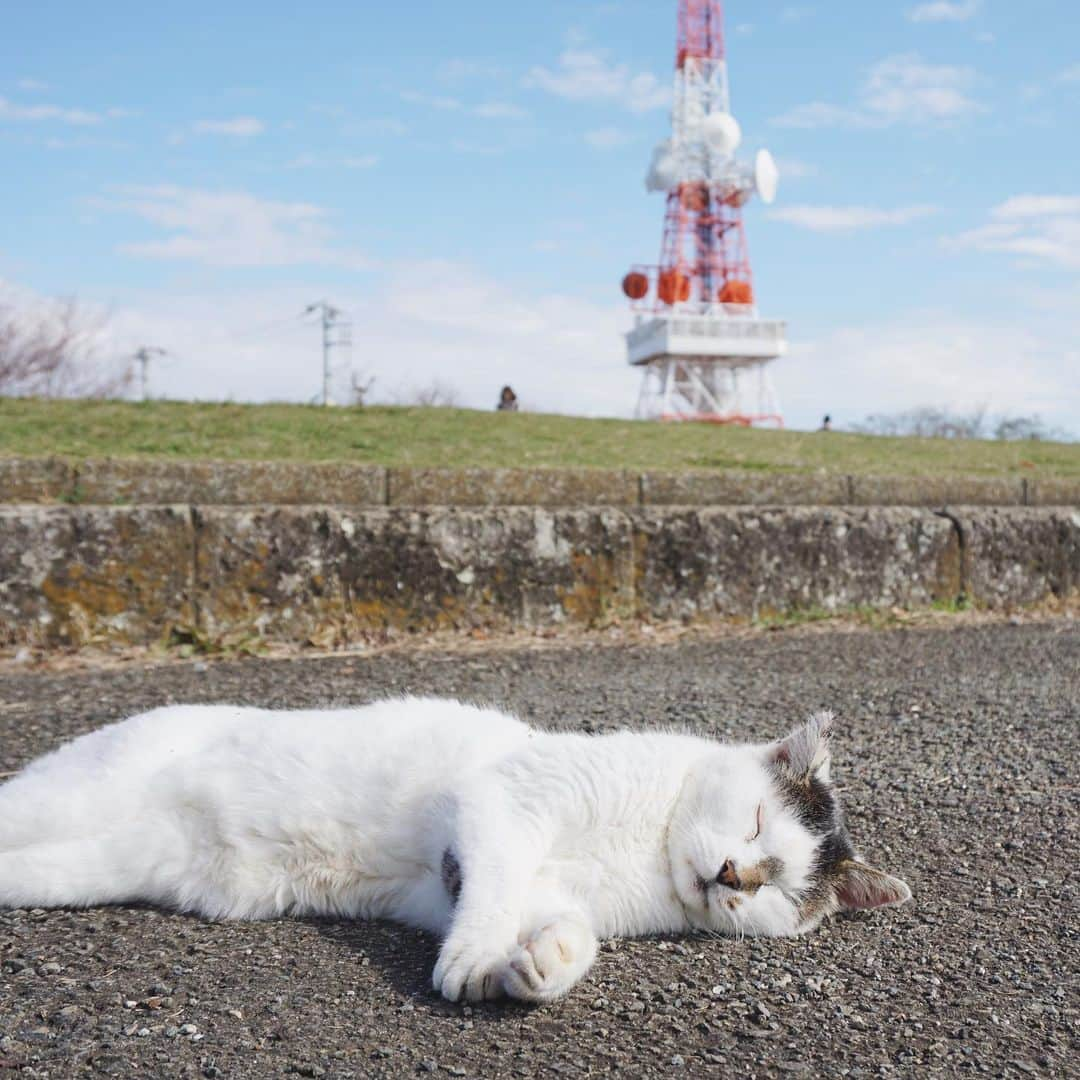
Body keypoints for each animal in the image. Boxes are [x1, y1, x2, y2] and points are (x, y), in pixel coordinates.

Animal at [0, 699, 911, 1002]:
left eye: (778, 890)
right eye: (756, 823)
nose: (732, 874)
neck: (649, 852)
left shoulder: (549, 891)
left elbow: (564, 933)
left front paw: (537, 968)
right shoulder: (505, 808)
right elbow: (492, 892)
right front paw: (473, 959)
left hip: (85, 869)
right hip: (69, 798)